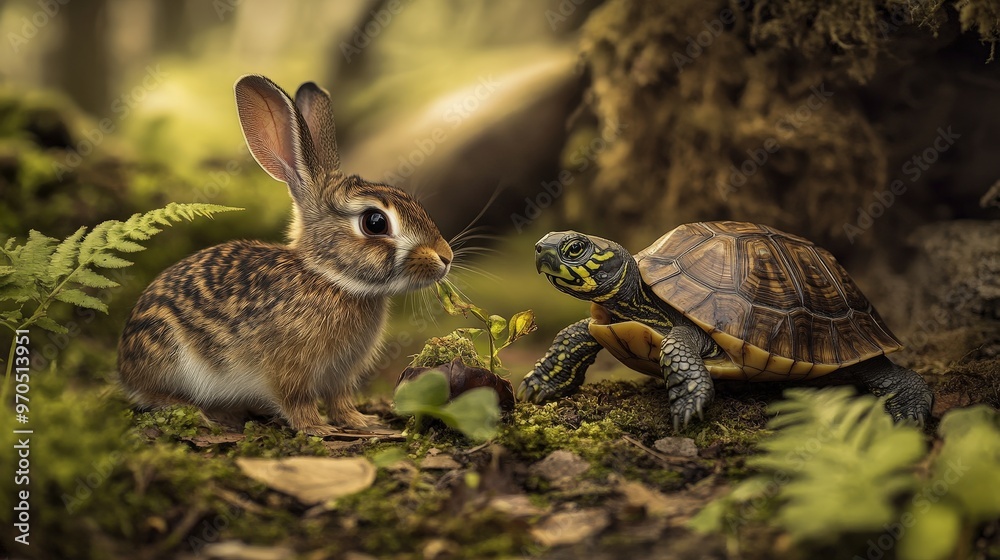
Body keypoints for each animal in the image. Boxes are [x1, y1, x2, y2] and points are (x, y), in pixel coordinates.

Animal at [117, 75, 453, 435]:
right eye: (375, 222)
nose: (445, 257)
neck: (329, 279)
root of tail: (124, 366)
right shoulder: (288, 370)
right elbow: (296, 401)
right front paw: (317, 429)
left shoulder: (340, 375)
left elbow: (340, 400)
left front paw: (360, 421)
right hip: (167, 354)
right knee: (154, 395)